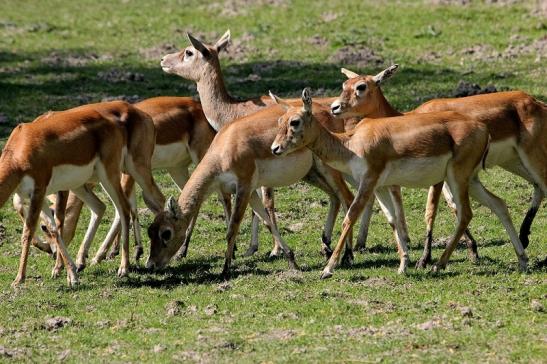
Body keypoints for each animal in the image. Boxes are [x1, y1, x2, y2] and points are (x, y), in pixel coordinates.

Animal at [0, 100, 165, 288]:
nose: (51, 252)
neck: (20, 148)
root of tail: (143, 115)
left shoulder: (41, 191)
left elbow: (31, 232)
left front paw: (19, 279)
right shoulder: (35, 196)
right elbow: (54, 228)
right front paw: (70, 274)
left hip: (119, 173)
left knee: (132, 207)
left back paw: (125, 267)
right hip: (88, 183)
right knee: (103, 207)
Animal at [158, 30, 356, 258]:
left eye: (189, 51)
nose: (163, 59)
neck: (233, 110)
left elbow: (267, 203)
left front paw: (275, 250)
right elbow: (256, 208)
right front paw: (252, 248)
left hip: (328, 167)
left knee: (347, 196)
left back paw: (348, 252)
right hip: (313, 171)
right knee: (336, 196)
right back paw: (327, 244)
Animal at [274, 89, 532, 278]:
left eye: (295, 122)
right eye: (280, 120)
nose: (275, 148)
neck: (351, 145)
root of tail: (483, 129)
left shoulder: (368, 182)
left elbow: (350, 216)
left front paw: (327, 268)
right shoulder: (380, 186)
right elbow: (393, 219)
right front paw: (403, 264)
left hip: (456, 177)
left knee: (466, 214)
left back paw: (438, 264)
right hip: (472, 179)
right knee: (499, 204)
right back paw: (522, 261)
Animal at [332, 64, 547, 268]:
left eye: (361, 86)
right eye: (344, 85)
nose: (335, 107)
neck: (407, 116)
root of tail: (537, 103)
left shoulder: (438, 178)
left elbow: (431, 210)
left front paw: (424, 260)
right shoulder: (445, 177)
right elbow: (453, 206)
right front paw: (472, 251)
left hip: (530, 156)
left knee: (543, 185)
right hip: (512, 162)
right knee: (537, 188)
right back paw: (523, 238)